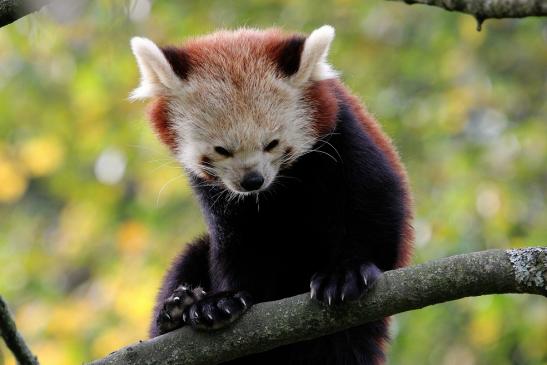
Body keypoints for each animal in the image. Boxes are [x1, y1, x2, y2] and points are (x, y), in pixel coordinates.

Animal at [132, 25, 416, 364]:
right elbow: (237, 244)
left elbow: (376, 201)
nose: (252, 181)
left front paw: (346, 273)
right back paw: (176, 309)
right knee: (191, 256)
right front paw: (222, 301)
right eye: (222, 150)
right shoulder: (220, 196)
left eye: (272, 144)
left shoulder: (340, 133)